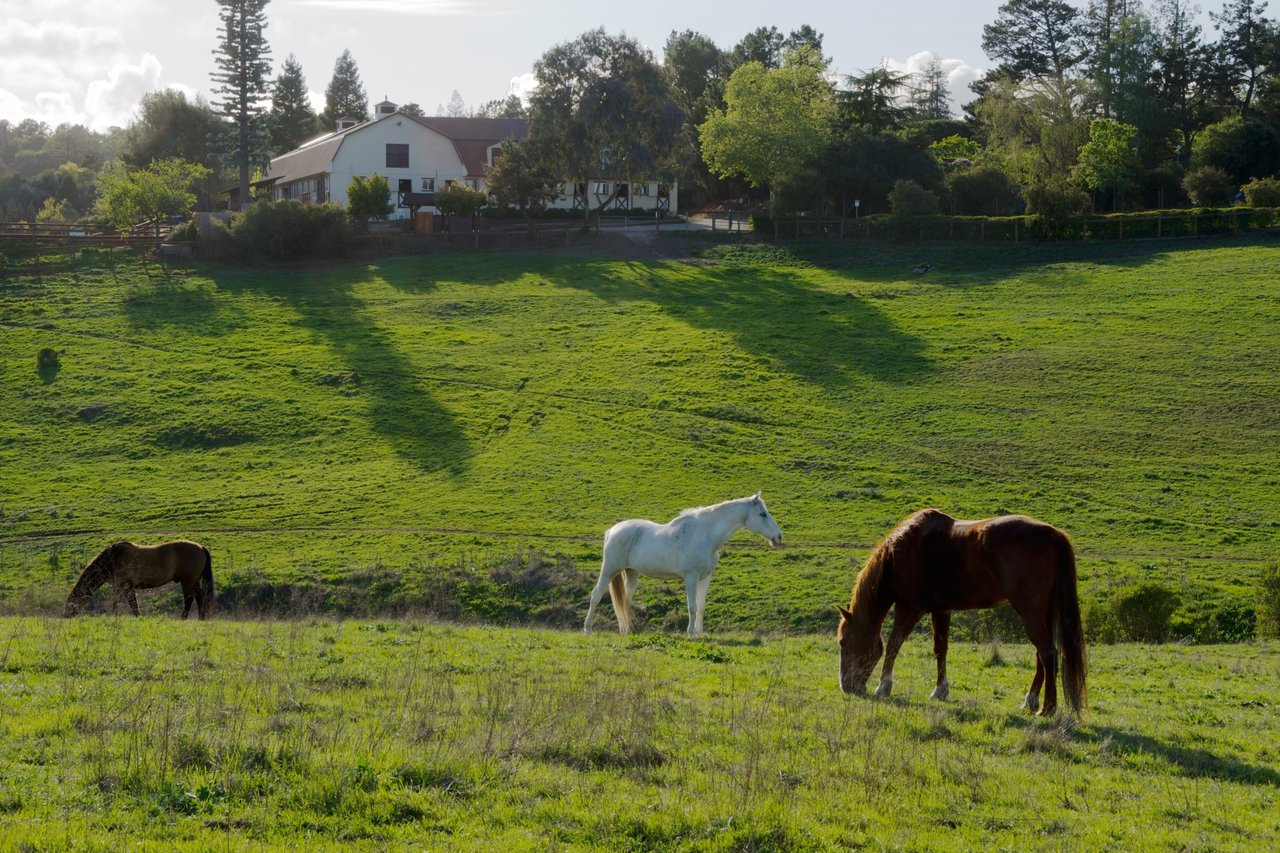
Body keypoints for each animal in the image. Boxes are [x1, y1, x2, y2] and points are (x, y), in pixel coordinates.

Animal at [65, 537, 216, 617]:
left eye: (70, 604)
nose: (66, 615)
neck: (112, 559)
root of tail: (201, 547)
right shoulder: (126, 587)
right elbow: (132, 604)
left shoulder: (123, 586)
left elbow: (122, 603)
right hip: (194, 581)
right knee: (200, 597)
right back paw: (201, 618)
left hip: (187, 582)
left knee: (189, 600)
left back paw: (184, 618)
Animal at [586, 491, 783, 630]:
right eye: (763, 514)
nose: (778, 537)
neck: (704, 535)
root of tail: (612, 531)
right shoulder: (691, 577)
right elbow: (692, 607)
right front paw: (690, 633)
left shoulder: (705, 577)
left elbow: (701, 607)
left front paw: (699, 633)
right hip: (609, 570)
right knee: (596, 596)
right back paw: (588, 629)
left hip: (632, 573)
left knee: (625, 602)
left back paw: (626, 631)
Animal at [839, 507, 1090, 712]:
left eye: (843, 642)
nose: (846, 686)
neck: (901, 552)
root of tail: (1052, 534)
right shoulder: (941, 609)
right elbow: (940, 648)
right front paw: (940, 690)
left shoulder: (909, 608)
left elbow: (893, 644)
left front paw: (883, 686)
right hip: (1044, 614)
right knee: (1042, 655)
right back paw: (1030, 700)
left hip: (1031, 615)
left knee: (1048, 653)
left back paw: (1047, 707)